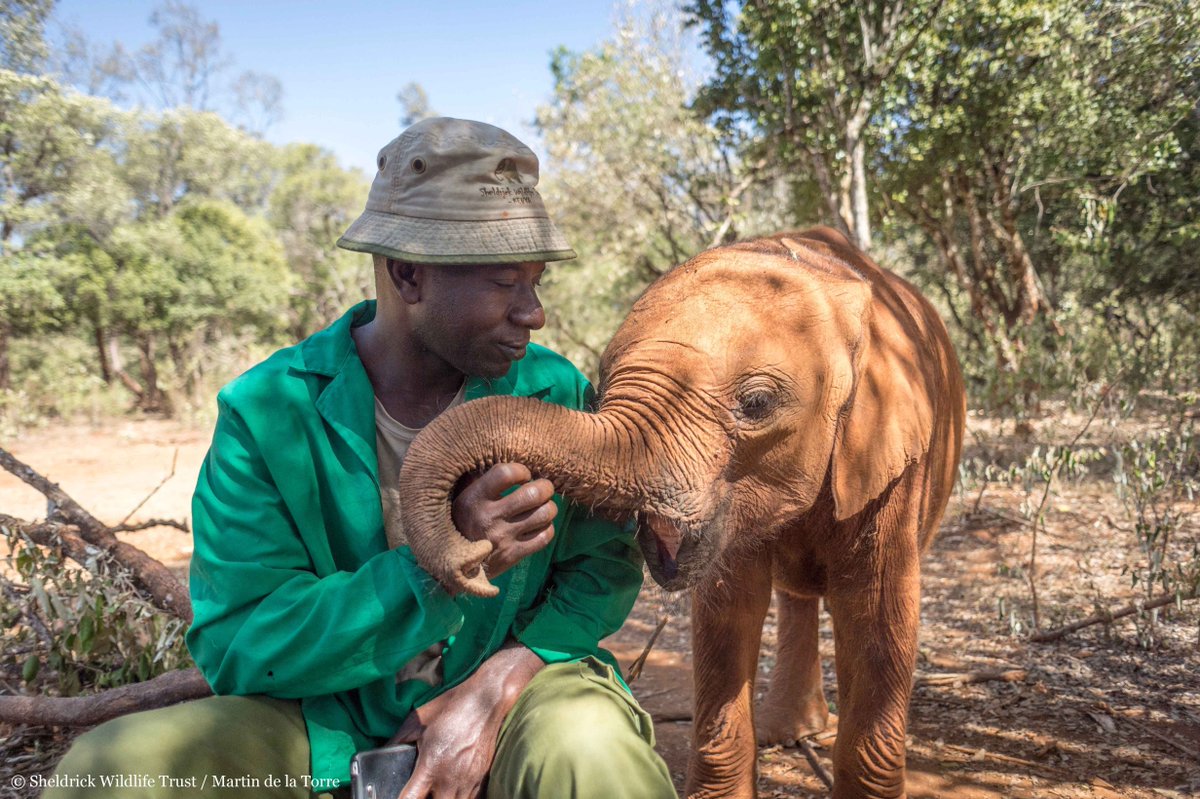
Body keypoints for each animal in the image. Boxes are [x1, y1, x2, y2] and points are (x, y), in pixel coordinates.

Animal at [393, 225, 964, 796]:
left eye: (757, 404)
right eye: (600, 383)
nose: (475, 568)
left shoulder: (894, 457)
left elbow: (877, 614)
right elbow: (727, 614)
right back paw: (790, 732)